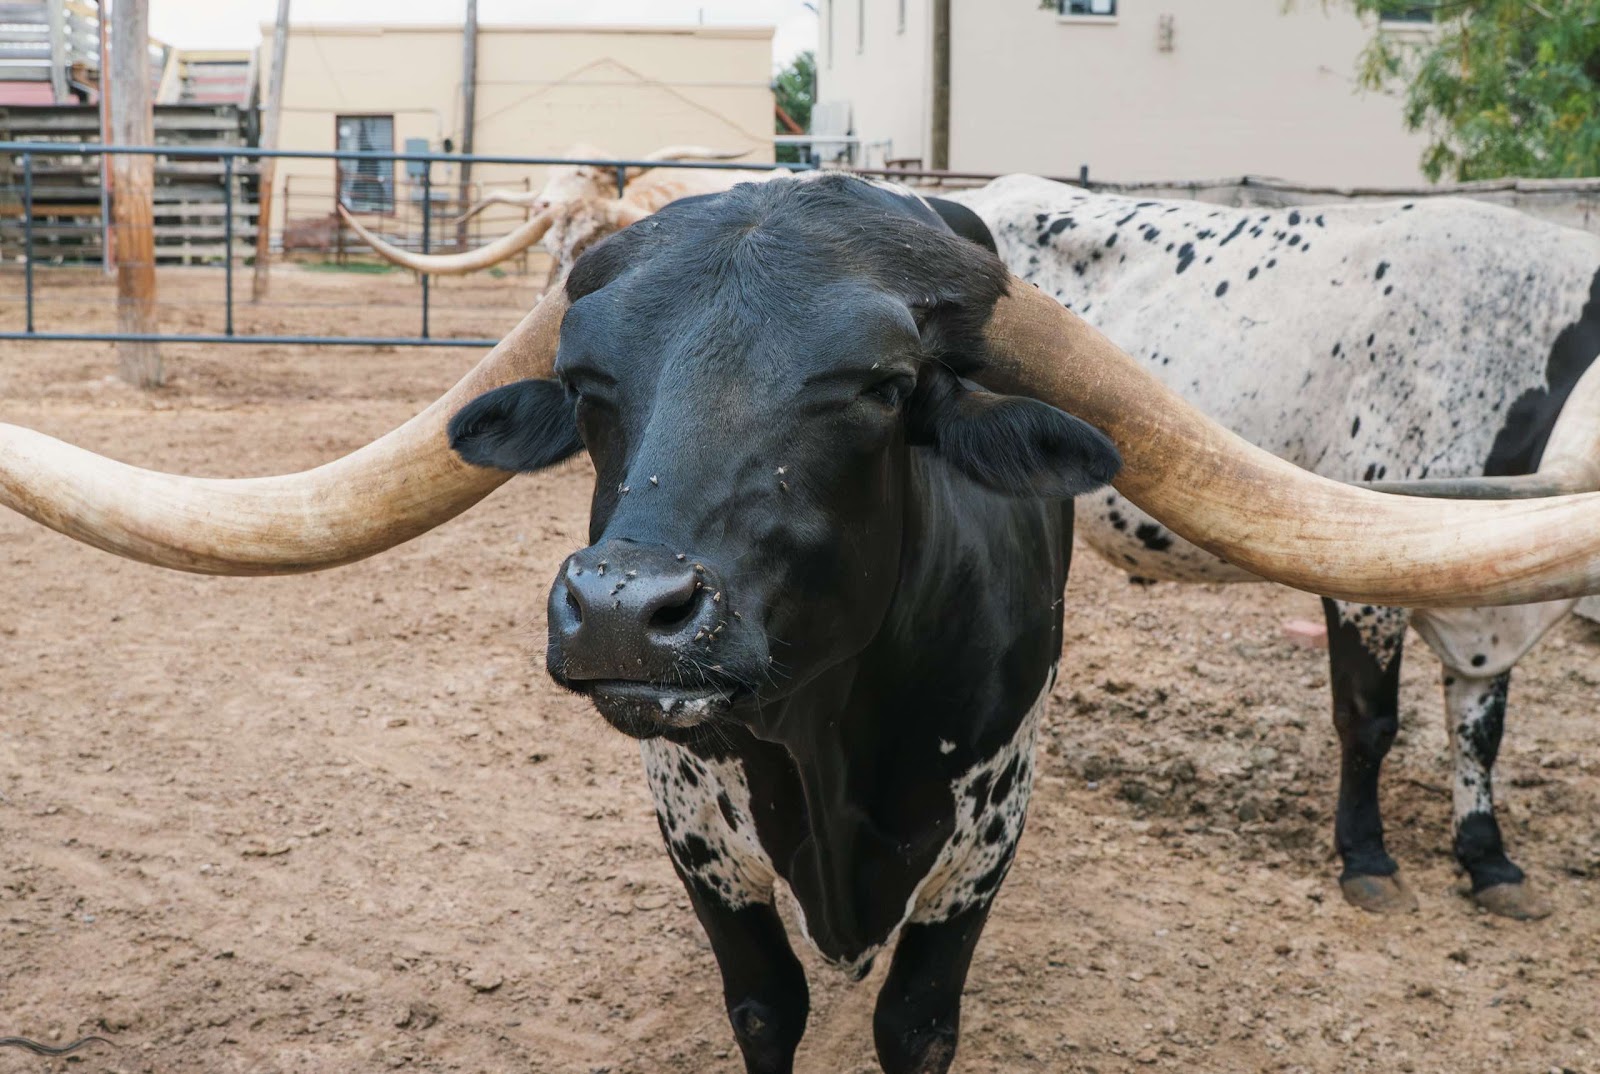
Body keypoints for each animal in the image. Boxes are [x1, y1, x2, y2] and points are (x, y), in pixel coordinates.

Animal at [953, 173, 1600, 921]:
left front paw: (1489, 861)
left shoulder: (1483, 587)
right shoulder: (1369, 581)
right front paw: (1368, 859)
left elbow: (1479, 732)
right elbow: (1369, 720)